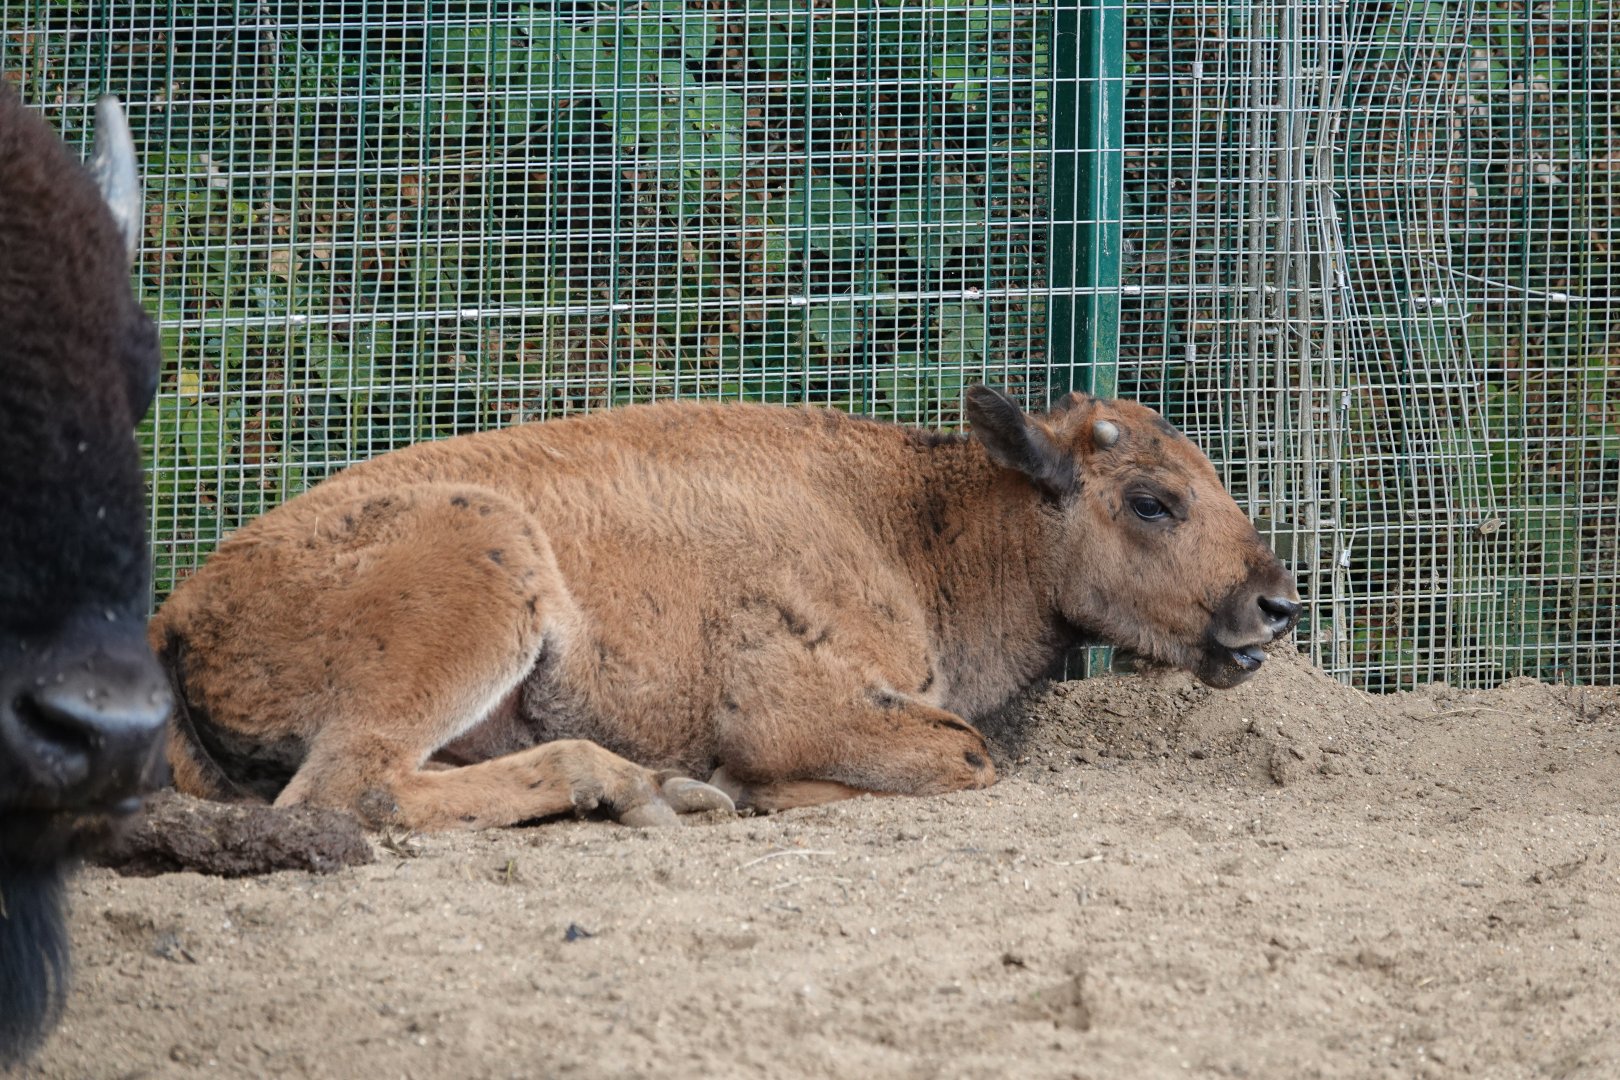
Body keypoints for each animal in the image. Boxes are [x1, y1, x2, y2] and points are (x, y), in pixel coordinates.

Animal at [151, 384, 1299, 831]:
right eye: (1152, 501)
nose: (1276, 604)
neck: (909, 519)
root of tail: (176, 612)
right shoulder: (793, 701)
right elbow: (968, 757)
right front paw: (754, 792)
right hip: (485, 578)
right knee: (354, 791)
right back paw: (639, 788)